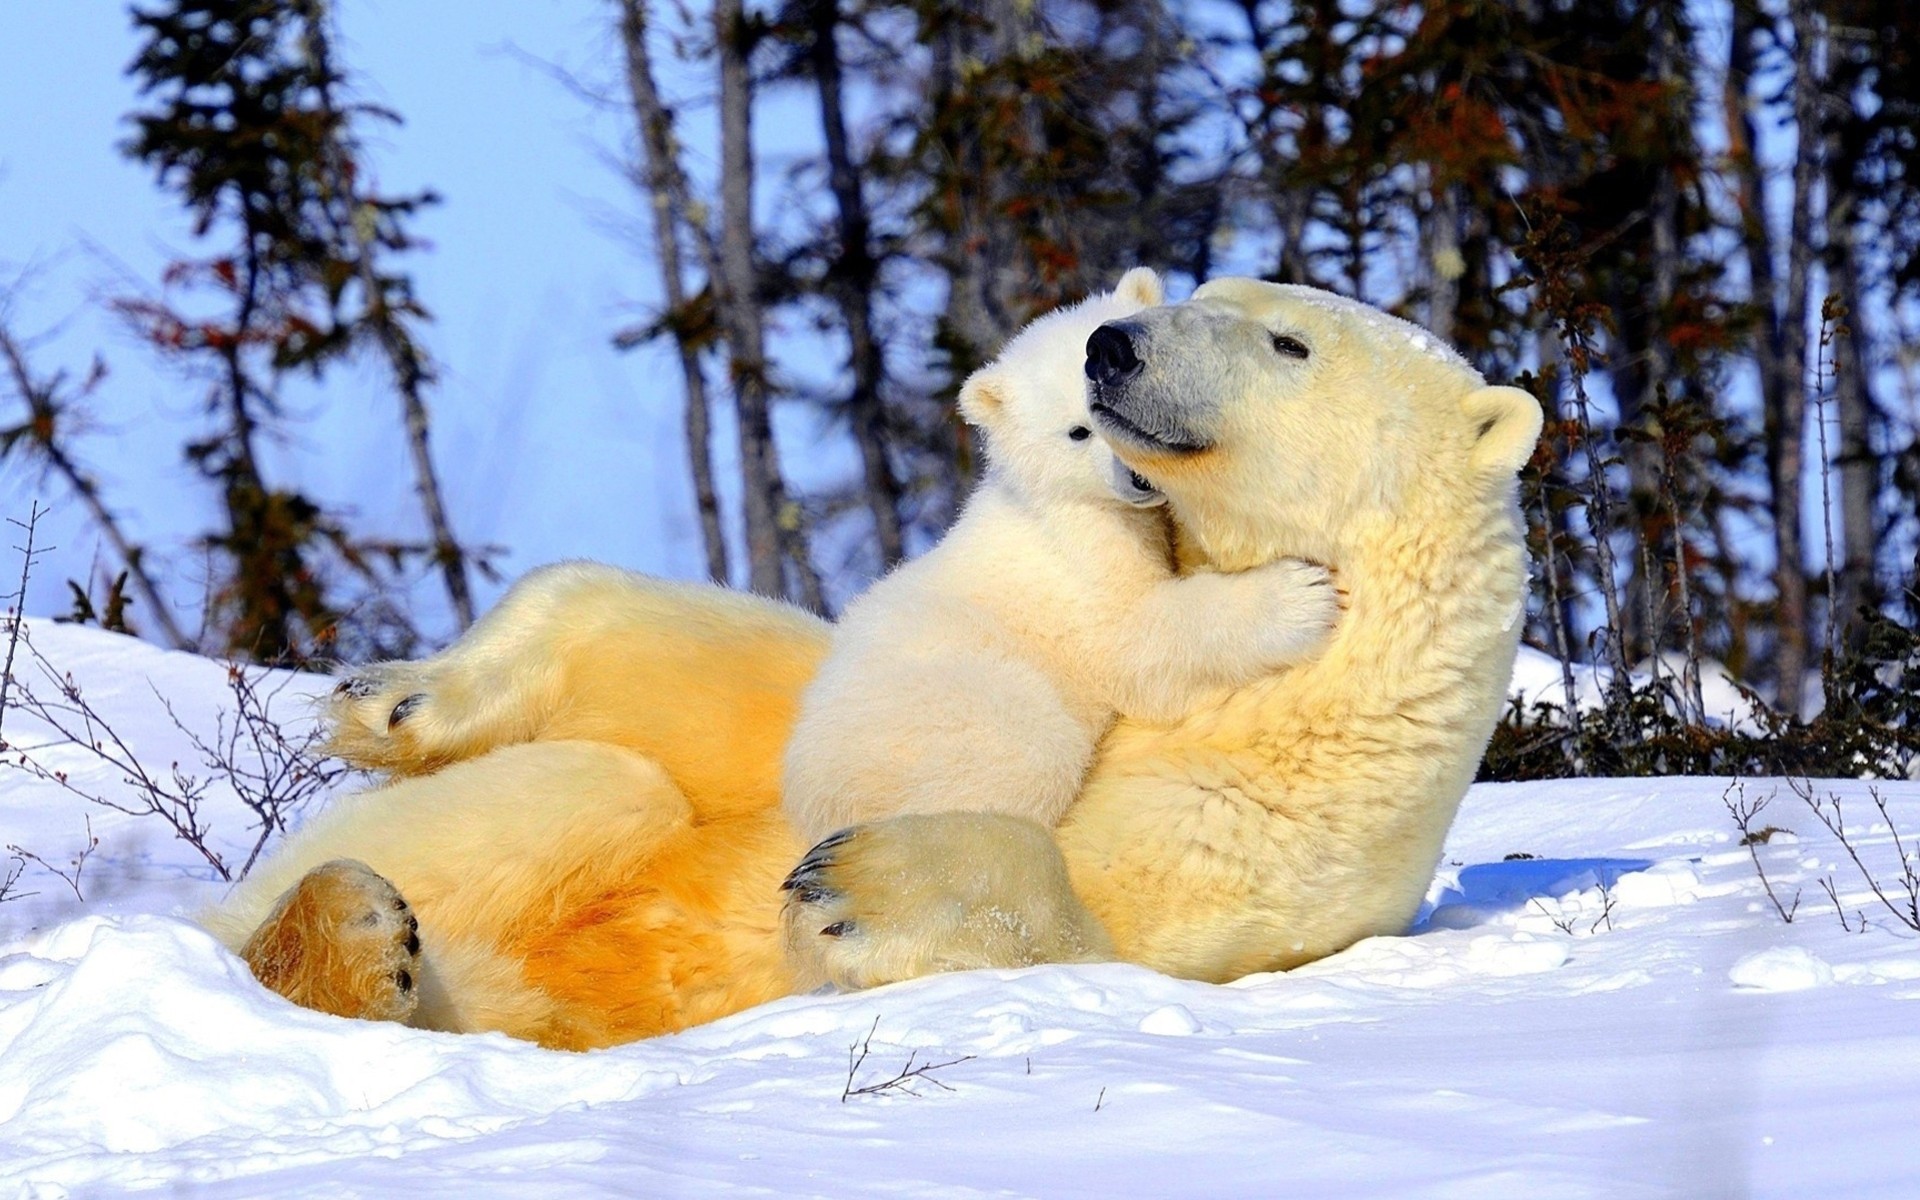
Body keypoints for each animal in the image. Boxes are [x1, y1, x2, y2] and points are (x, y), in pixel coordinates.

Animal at [783, 267, 1341, 845]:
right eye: (1079, 431)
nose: (1138, 478)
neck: (1051, 495)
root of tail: (813, 797)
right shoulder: (1081, 549)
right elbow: (1133, 635)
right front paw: (1300, 596)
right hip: (958, 710)